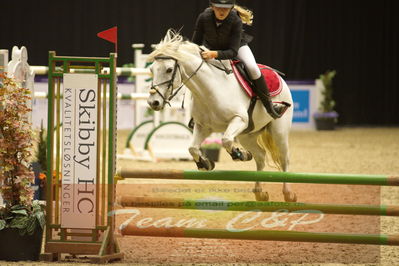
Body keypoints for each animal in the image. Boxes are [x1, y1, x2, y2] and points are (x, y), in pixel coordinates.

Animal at [147, 30, 296, 202]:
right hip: (247, 135)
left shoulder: (240, 120)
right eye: (152, 70)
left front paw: (240, 154)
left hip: (279, 131)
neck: (209, 89)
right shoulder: (203, 127)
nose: (153, 102)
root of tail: (279, 77)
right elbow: (192, 148)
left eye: (169, 70)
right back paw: (260, 193)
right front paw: (205, 163)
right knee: (260, 156)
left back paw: (288, 193)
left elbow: (225, 140)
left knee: (284, 159)